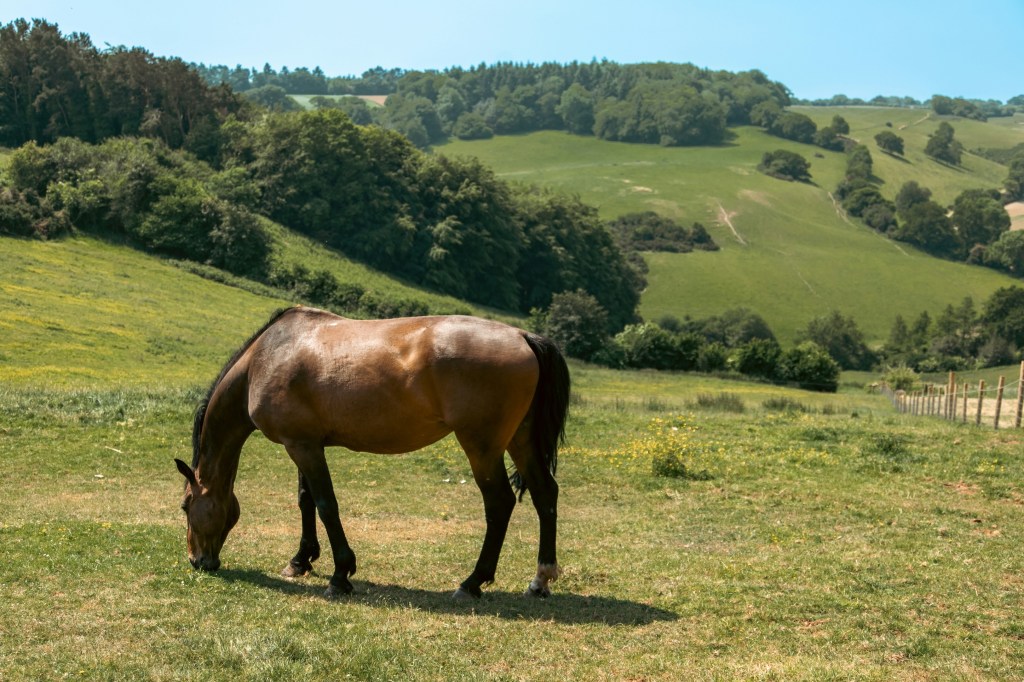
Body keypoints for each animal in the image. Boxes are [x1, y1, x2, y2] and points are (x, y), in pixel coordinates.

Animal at [174, 306, 570, 600]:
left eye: (185, 505)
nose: (196, 560)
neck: (267, 357)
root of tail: (523, 337)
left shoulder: (302, 447)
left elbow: (325, 504)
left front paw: (340, 574)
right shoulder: (303, 442)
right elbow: (306, 500)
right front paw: (301, 561)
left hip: (482, 446)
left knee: (500, 502)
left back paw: (472, 582)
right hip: (520, 441)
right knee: (545, 493)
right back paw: (540, 579)